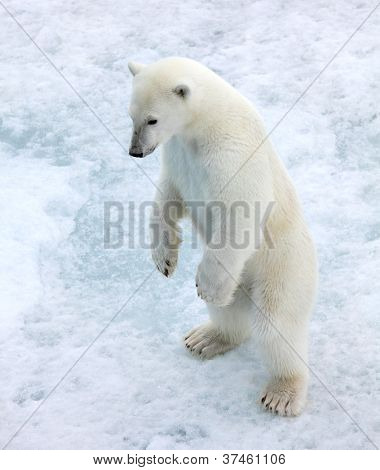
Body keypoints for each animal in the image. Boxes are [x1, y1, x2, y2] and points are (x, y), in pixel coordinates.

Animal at [127, 57, 318, 414]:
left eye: (152, 119)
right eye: (130, 115)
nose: (135, 151)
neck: (204, 123)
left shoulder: (231, 152)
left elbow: (240, 212)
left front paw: (205, 285)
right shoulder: (178, 155)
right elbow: (168, 197)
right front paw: (164, 259)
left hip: (284, 267)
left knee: (276, 325)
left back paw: (282, 393)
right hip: (244, 282)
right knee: (230, 313)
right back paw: (204, 339)